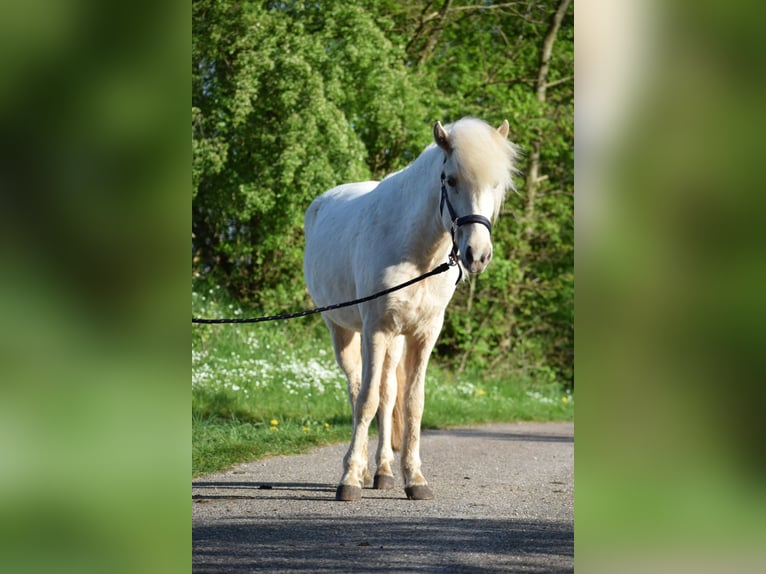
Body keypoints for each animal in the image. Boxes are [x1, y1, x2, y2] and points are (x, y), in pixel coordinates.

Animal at [304, 118, 520, 504]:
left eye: (495, 184)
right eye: (450, 180)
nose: (477, 255)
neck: (417, 252)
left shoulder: (423, 334)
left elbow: (411, 403)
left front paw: (414, 479)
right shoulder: (374, 329)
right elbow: (367, 400)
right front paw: (349, 479)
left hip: (396, 341)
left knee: (389, 393)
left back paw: (383, 472)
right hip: (343, 330)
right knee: (358, 389)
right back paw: (361, 469)